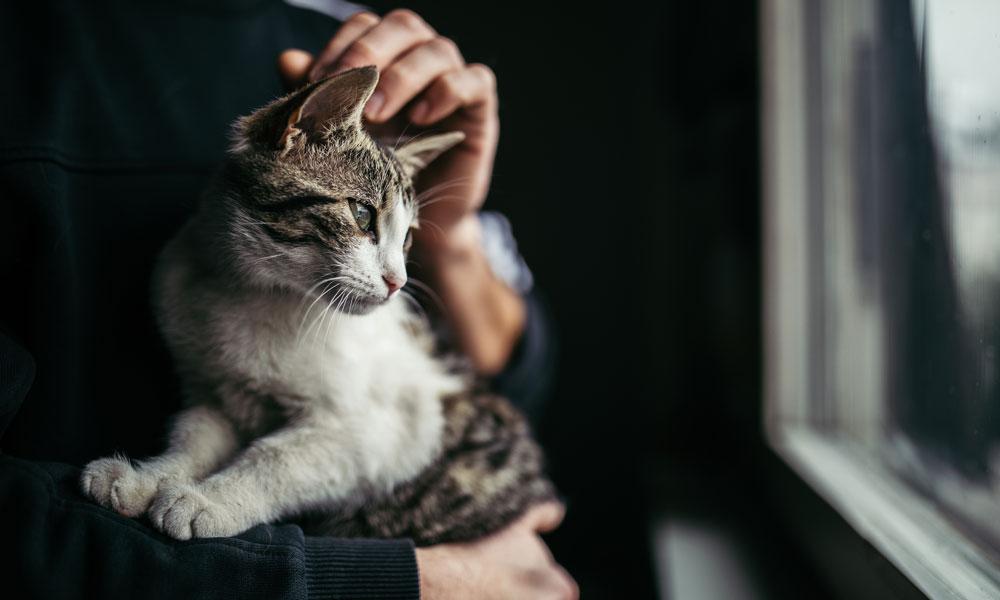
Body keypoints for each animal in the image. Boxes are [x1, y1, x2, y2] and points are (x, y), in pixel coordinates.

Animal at [81, 65, 556, 544]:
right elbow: (193, 437)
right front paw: (146, 478)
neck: (252, 295)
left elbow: (277, 457)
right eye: (362, 214)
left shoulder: (385, 432)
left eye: (407, 238)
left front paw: (208, 500)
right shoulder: (214, 393)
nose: (397, 282)